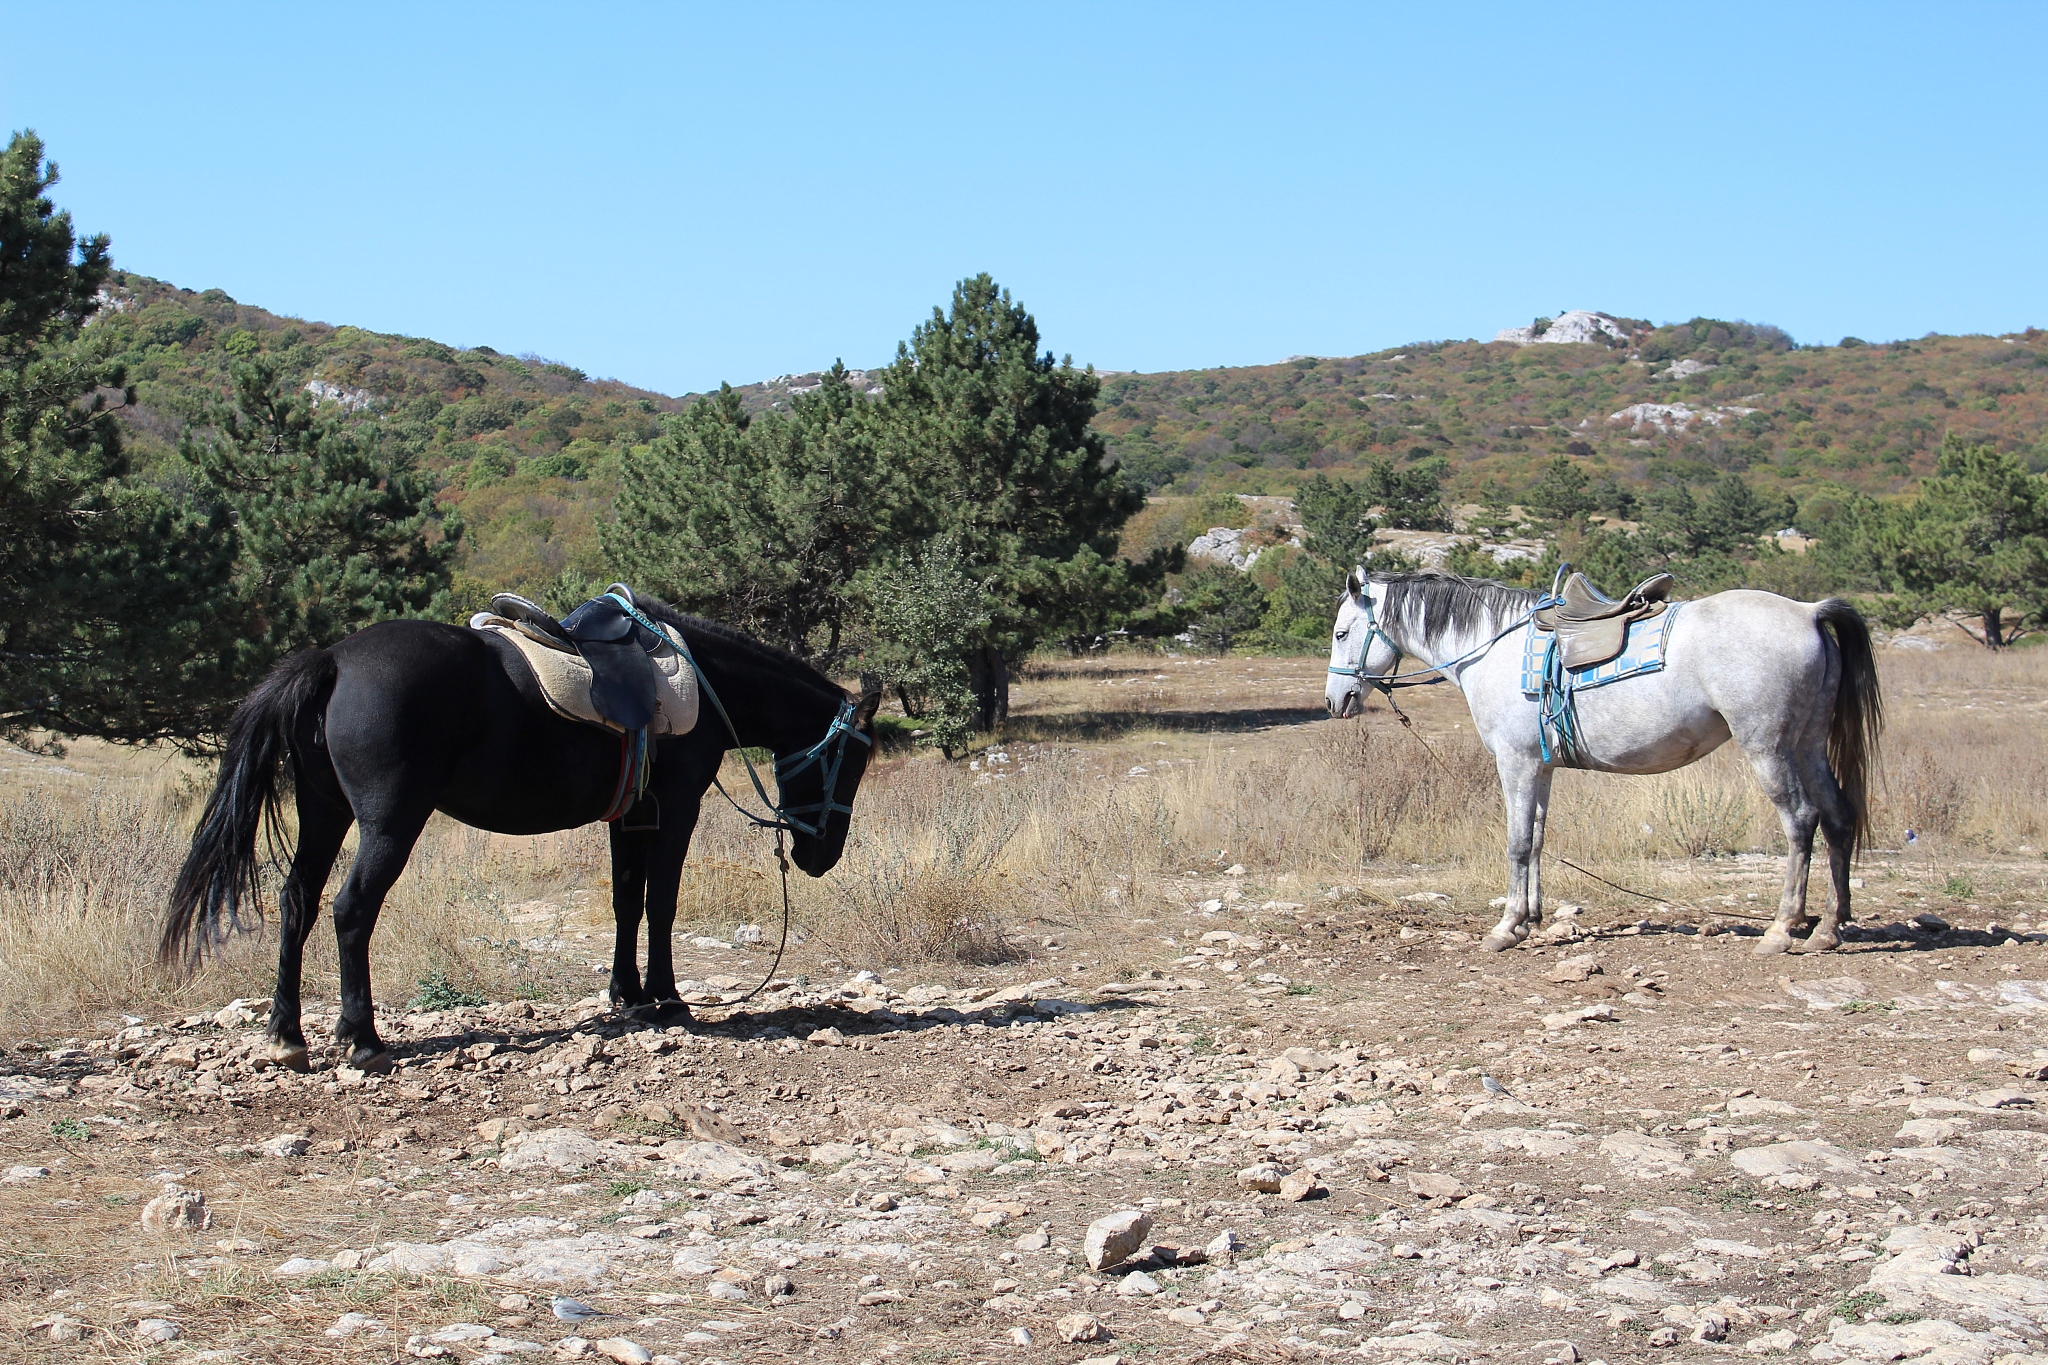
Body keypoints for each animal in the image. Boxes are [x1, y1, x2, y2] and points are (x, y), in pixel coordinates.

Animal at [162, 597, 882, 1072]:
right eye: (853, 758)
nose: (821, 855)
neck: (705, 683)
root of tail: (334, 659)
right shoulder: (676, 810)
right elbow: (662, 903)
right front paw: (669, 998)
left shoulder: (631, 815)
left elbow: (626, 901)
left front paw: (628, 996)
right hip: (389, 821)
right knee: (350, 909)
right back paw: (362, 1037)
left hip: (324, 811)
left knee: (298, 901)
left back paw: (287, 1033)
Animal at [1324, 571, 1882, 955]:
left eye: (1341, 633)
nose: (1336, 701)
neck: (1490, 648)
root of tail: (1809, 611)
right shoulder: (1541, 768)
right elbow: (1537, 841)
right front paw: (1531, 920)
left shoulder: (1516, 764)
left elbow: (1517, 843)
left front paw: (1505, 928)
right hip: (1808, 744)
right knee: (1838, 819)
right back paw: (1829, 929)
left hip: (1769, 747)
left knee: (1802, 821)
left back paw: (1782, 929)